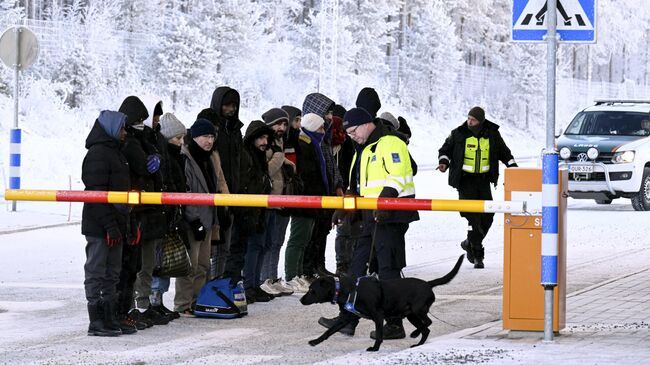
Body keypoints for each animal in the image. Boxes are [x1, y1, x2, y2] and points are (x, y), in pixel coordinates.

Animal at [298, 253, 460, 350]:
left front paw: (375, 348)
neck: (346, 289)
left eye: (312, 290)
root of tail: (428, 284)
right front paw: (315, 341)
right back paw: (417, 343)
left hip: (417, 310)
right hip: (411, 315)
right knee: (426, 329)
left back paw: (414, 334)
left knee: (428, 322)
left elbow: (380, 333)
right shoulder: (346, 317)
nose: (300, 299)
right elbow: (329, 331)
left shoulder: (378, 315)